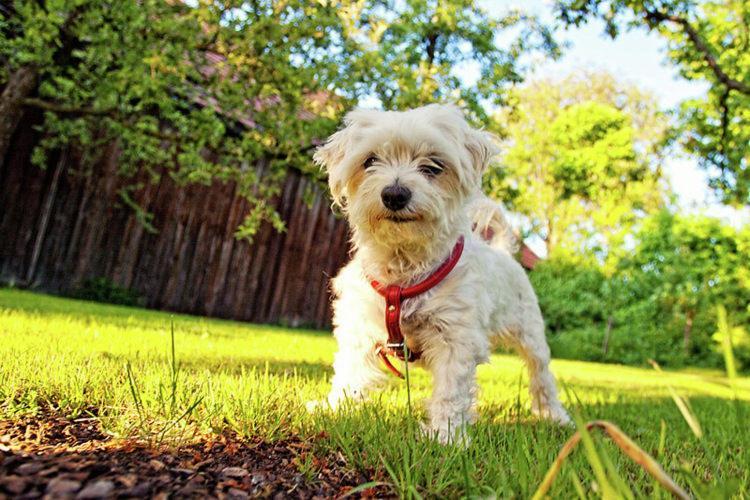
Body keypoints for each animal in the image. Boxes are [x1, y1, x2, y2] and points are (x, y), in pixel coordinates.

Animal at [312, 102, 568, 442]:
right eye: (370, 161)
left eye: (433, 166)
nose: (394, 194)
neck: (405, 267)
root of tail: (502, 251)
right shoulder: (360, 327)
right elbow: (349, 373)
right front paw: (334, 409)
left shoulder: (455, 337)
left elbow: (451, 391)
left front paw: (445, 437)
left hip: (531, 336)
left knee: (542, 377)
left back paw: (555, 416)